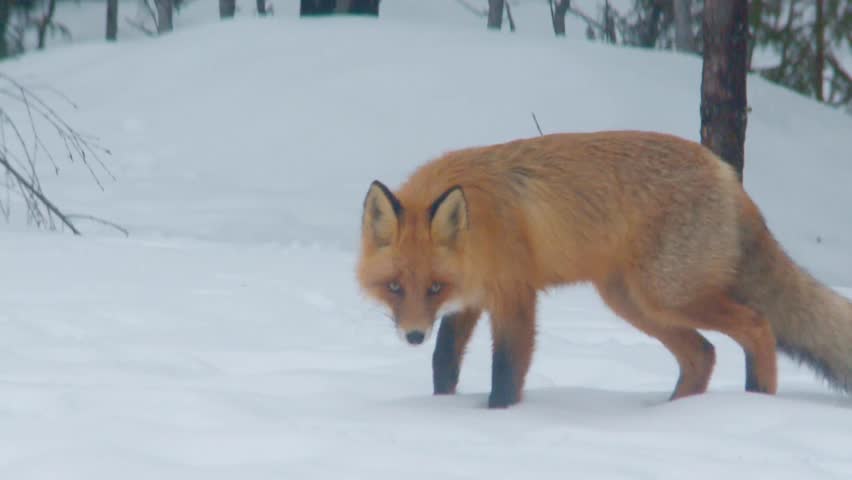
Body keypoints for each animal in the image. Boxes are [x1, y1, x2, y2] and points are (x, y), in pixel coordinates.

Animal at [356, 130, 852, 409]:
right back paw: (673, 414)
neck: (480, 228)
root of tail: (727, 173)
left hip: (668, 295)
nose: (413, 335)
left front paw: (499, 418)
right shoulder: (471, 301)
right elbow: (444, 364)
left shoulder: (514, 295)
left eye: (434, 287)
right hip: (633, 303)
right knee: (703, 354)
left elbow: (507, 370)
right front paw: (441, 408)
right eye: (395, 287)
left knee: (757, 326)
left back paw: (757, 403)